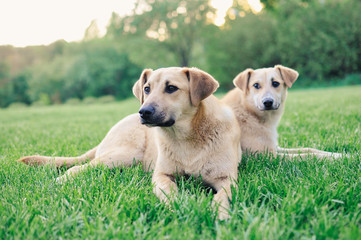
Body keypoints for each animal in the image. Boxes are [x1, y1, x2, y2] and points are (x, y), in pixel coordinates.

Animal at [18, 66, 240, 220]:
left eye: (171, 88)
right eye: (147, 89)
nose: (144, 111)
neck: (187, 137)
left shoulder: (227, 178)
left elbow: (222, 196)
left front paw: (220, 214)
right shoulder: (161, 175)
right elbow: (169, 192)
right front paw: (178, 206)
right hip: (124, 154)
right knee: (76, 168)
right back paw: (57, 182)